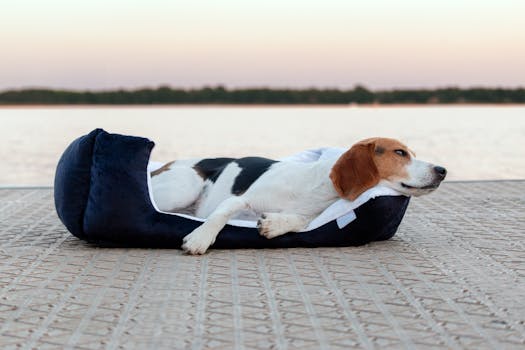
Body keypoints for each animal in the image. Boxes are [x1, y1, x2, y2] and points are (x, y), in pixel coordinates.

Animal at [150, 137, 446, 254]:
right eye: (400, 153)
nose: (442, 170)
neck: (315, 189)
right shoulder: (239, 199)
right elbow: (220, 215)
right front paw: (200, 238)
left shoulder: (311, 215)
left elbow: (300, 221)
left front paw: (274, 224)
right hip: (183, 187)